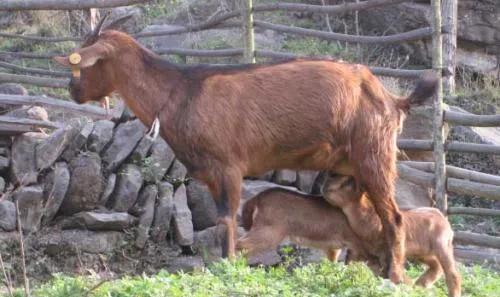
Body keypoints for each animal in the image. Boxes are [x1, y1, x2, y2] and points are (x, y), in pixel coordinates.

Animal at [54, 16, 436, 282]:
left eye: (87, 62)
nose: (72, 90)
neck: (181, 92)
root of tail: (392, 98)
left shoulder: (229, 167)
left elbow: (227, 222)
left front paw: (226, 271)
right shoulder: (211, 174)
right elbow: (225, 221)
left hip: (375, 156)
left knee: (395, 217)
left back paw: (395, 276)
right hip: (351, 167)